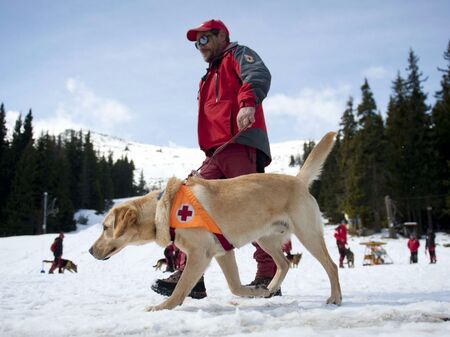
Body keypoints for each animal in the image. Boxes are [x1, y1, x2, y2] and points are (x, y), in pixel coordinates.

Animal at [89, 131, 342, 310]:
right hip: (266, 239)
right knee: (284, 264)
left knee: (331, 266)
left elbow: (181, 288)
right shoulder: (222, 253)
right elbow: (235, 286)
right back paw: (268, 289)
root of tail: (298, 181)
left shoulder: (199, 255)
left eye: (105, 227)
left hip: (307, 235)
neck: (165, 209)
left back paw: (335, 297)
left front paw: (162, 307)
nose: (90, 251)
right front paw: (256, 293)